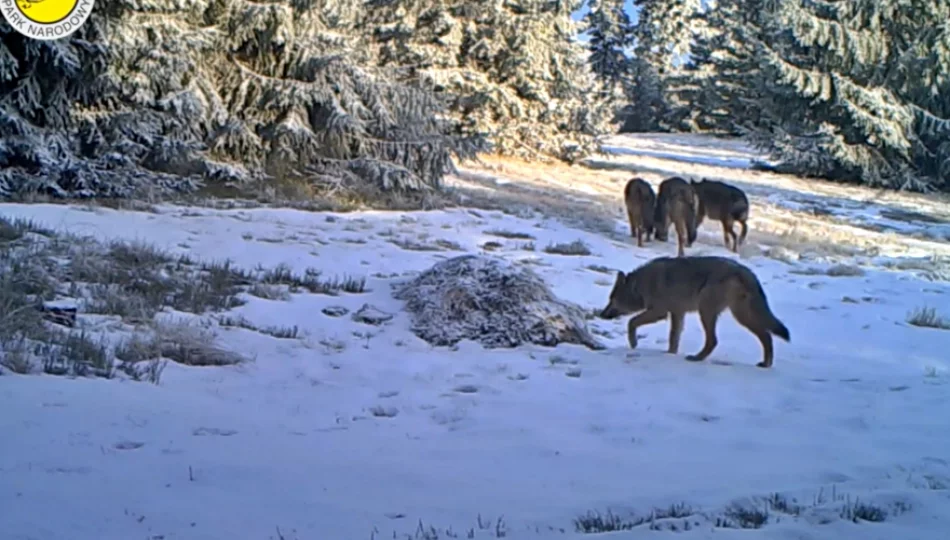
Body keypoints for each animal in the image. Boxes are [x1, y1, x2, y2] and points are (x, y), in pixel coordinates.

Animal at [600, 256, 792, 368]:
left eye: (612, 300)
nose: (601, 314)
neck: (642, 284)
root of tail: (746, 271)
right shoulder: (677, 314)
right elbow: (673, 339)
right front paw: (669, 355)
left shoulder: (660, 312)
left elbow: (631, 322)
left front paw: (633, 343)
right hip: (740, 316)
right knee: (766, 336)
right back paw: (766, 364)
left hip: (708, 312)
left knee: (714, 341)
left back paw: (697, 358)